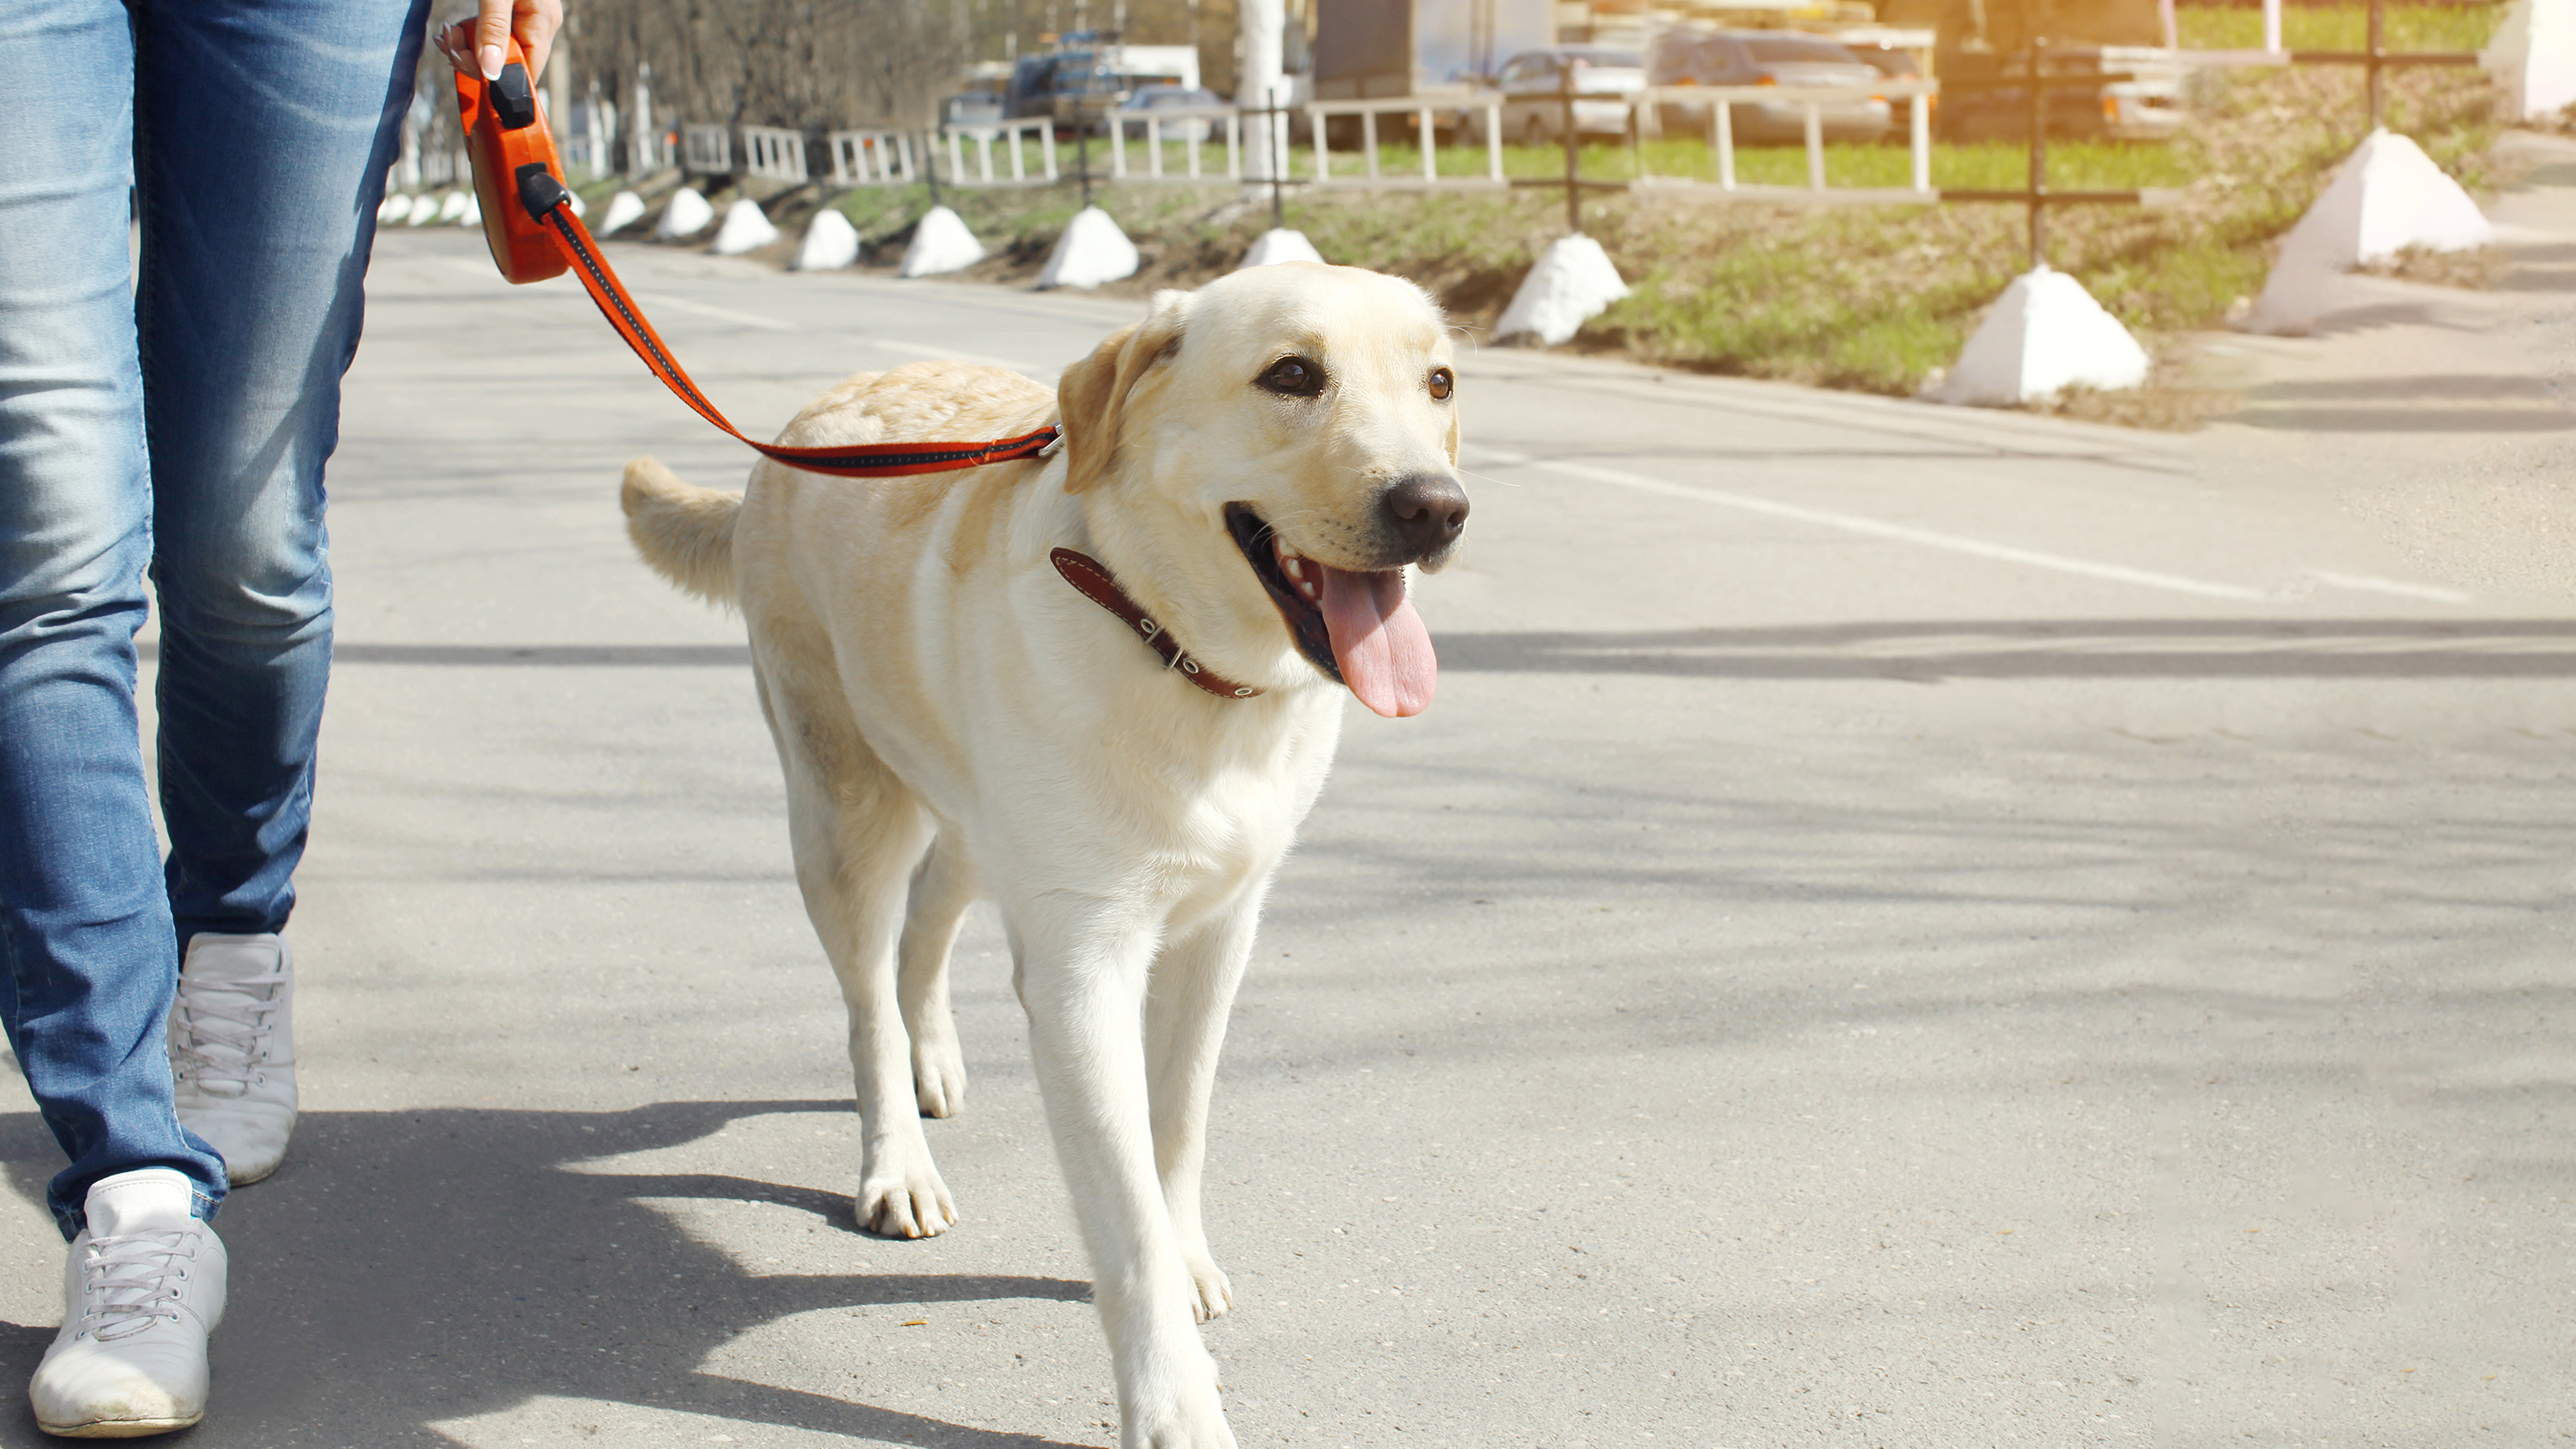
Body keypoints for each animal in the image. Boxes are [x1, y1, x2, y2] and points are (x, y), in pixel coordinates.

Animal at [610, 262, 1473, 1443]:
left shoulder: (1219, 933)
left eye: (1438, 382)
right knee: (868, 1001)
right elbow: (1125, 1208)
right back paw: (897, 1161)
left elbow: (1178, 1127)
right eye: (1293, 376)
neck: (1177, 655)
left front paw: (1187, 1256)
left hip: (975, 818)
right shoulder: (1081, 969)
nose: (1436, 508)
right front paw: (1172, 1397)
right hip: (843, 812)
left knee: (929, 925)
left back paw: (932, 1060)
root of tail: (808, 422)